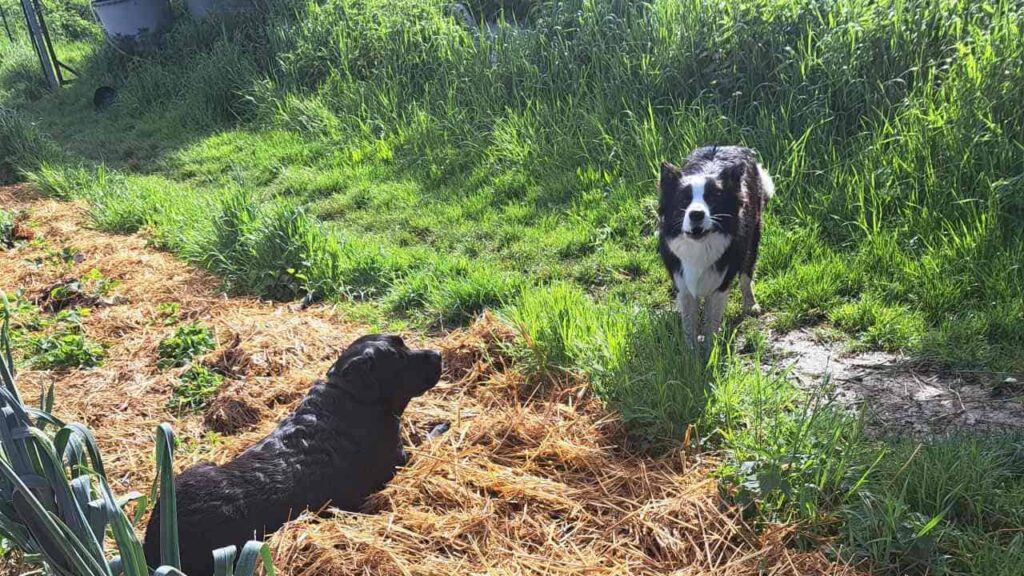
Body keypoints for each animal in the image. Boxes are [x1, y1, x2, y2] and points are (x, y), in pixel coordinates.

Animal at [145, 334, 444, 569]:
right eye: (399, 358)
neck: (351, 395)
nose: (438, 354)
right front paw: (440, 426)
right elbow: (426, 442)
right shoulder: (399, 460)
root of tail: (156, 538)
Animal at [655, 145, 774, 348]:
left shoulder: (720, 285)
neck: (699, 246)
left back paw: (751, 305)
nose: (696, 214)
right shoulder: (683, 284)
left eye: (712, 199)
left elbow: (711, 323)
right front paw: (690, 352)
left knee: (746, 275)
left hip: (753, 237)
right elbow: (689, 324)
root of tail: (731, 146)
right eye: (683, 200)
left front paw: (710, 351)